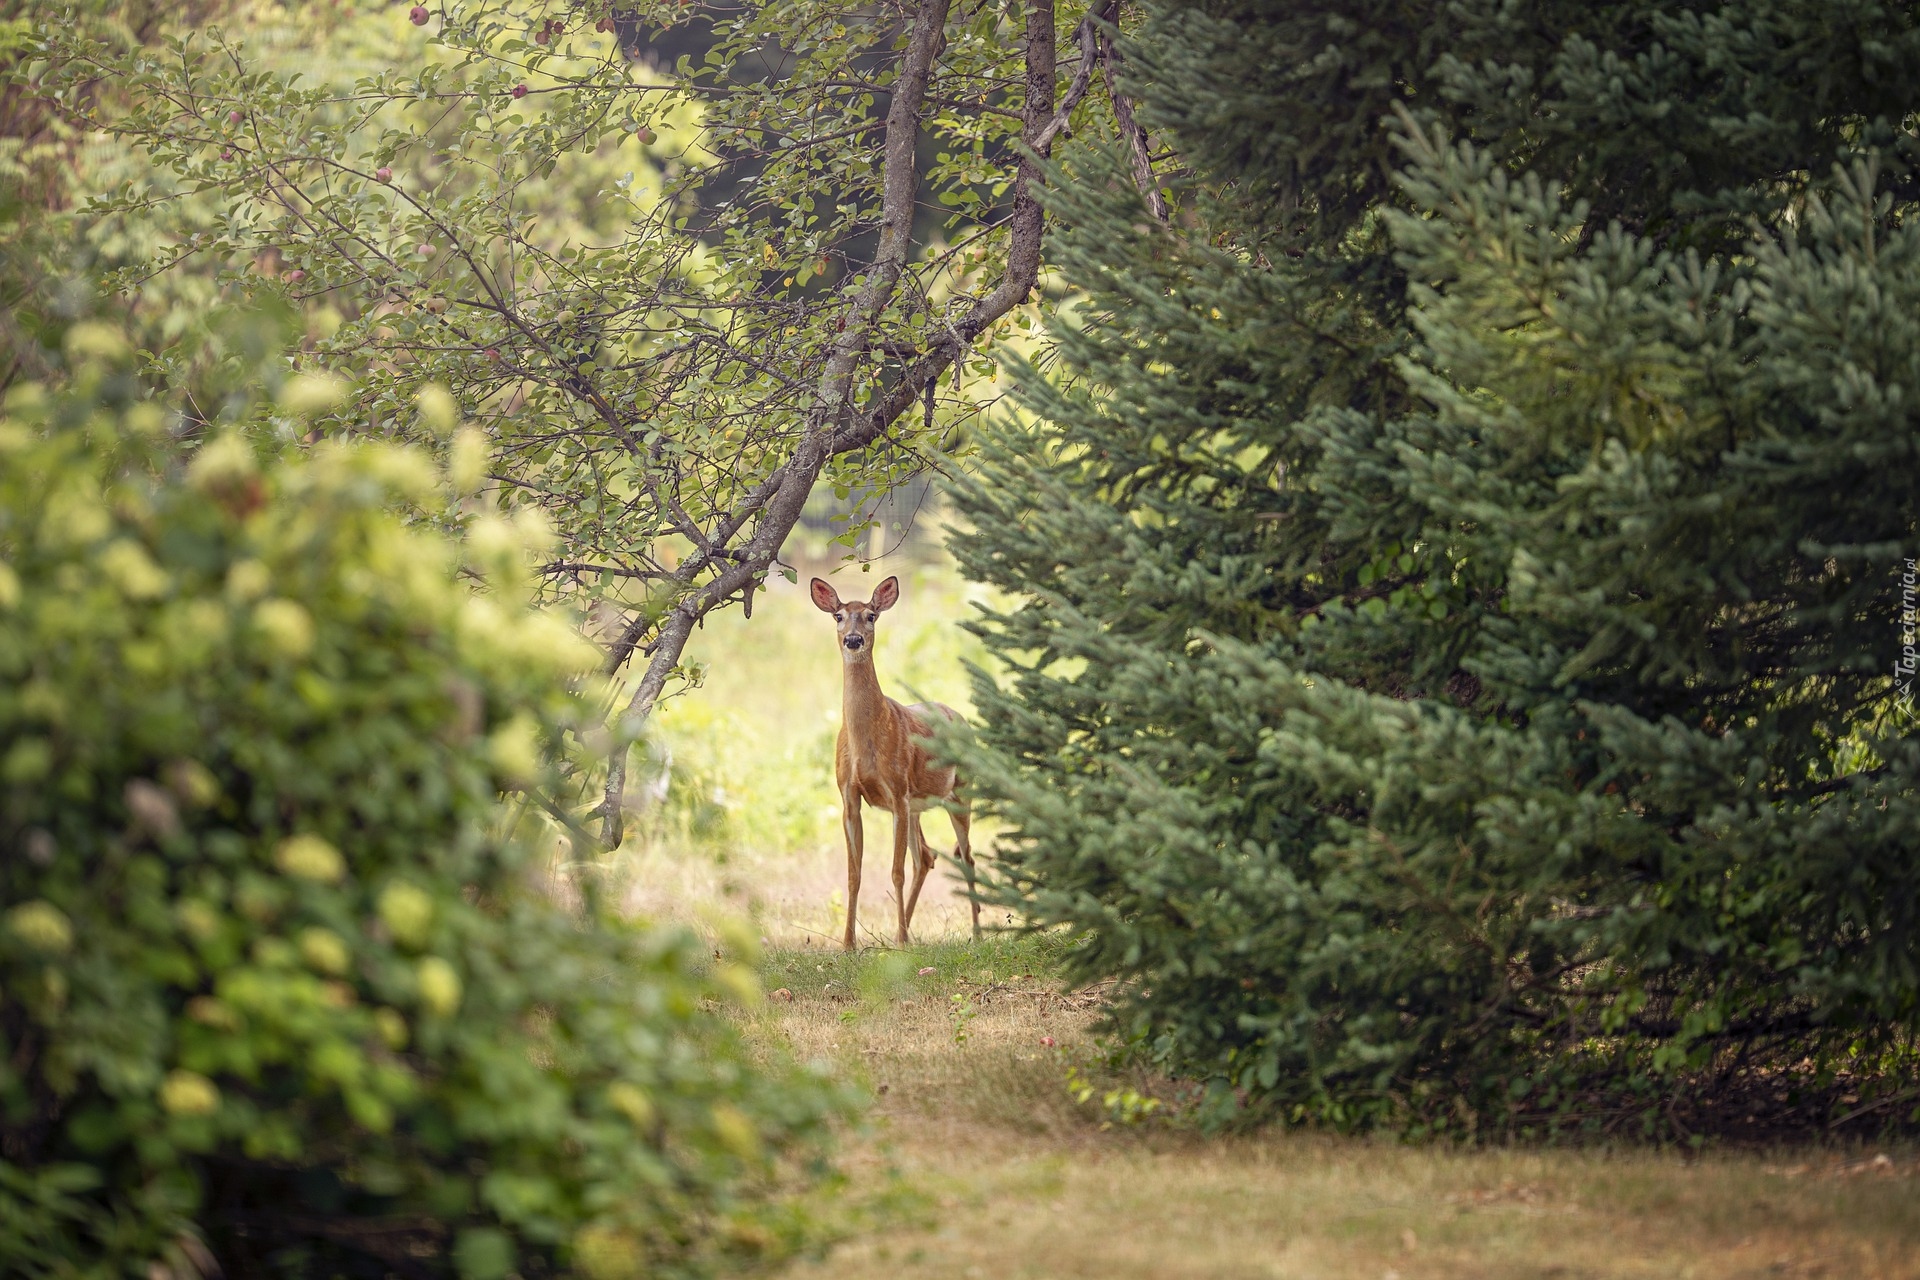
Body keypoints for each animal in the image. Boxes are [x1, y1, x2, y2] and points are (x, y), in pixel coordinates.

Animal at [810, 575, 975, 948]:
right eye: (838, 616)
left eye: (871, 615)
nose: (853, 640)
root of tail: (962, 719)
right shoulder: (849, 795)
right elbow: (853, 874)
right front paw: (848, 943)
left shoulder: (897, 790)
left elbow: (895, 871)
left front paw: (898, 941)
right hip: (917, 806)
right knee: (926, 855)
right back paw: (907, 930)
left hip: (960, 792)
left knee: (967, 857)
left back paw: (976, 932)